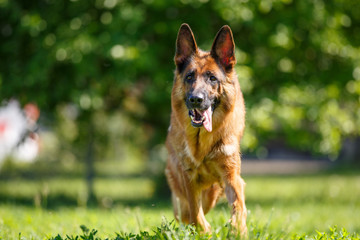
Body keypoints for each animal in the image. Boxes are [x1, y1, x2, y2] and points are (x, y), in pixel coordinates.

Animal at [165, 24, 248, 234]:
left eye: (212, 78)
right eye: (189, 77)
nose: (196, 99)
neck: (202, 143)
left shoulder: (231, 176)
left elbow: (238, 206)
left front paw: (237, 229)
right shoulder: (189, 179)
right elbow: (196, 215)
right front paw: (205, 232)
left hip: (213, 192)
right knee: (186, 213)